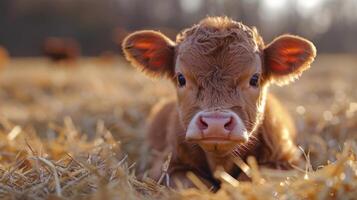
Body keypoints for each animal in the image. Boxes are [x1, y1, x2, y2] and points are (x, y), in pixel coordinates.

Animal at [121, 16, 314, 188]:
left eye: (254, 79)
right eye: (181, 78)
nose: (216, 123)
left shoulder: (288, 161)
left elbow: (250, 178)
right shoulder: (164, 167)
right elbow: (192, 183)